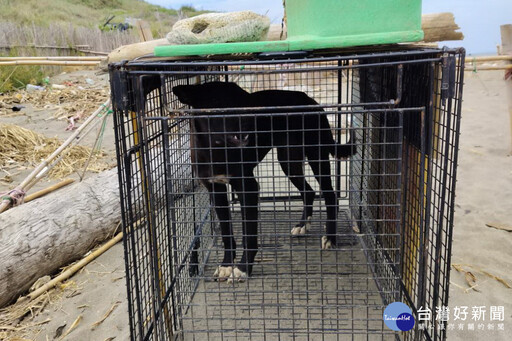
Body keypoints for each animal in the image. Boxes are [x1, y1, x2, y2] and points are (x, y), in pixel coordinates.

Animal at [174, 82, 354, 282]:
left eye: (243, 99)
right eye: (215, 101)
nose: (250, 122)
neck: (216, 149)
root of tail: (309, 99)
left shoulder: (248, 188)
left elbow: (249, 235)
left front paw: (243, 269)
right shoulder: (216, 189)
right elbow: (226, 232)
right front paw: (227, 264)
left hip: (316, 154)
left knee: (330, 196)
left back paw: (330, 236)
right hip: (289, 160)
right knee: (309, 191)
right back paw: (302, 225)